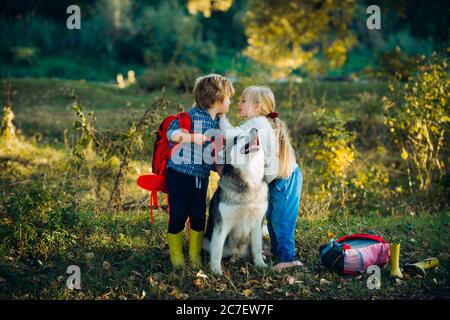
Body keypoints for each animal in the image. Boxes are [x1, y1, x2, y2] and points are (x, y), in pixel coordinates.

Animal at [203, 127, 268, 276]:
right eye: (239, 138)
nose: (255, 129)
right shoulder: (222, 224)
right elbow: (217, 249)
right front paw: (216, 270)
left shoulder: (257, 222)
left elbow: (257, 246)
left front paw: (260, 264)